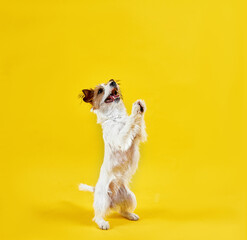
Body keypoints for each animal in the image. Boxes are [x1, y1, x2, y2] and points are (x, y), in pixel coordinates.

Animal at [78, 79, 147, 230]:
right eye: (100, 90)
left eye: (109, 81)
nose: (112, 81)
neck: (116, 117)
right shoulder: (120, 139)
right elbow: (128, 125)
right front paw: (135, 109)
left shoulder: (139, 135)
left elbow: (138, 124)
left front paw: (141, 107)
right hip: (103, 198)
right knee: (97, 216)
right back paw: (102, 223)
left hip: (130, 197)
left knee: (122, 210)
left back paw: (130, 215)